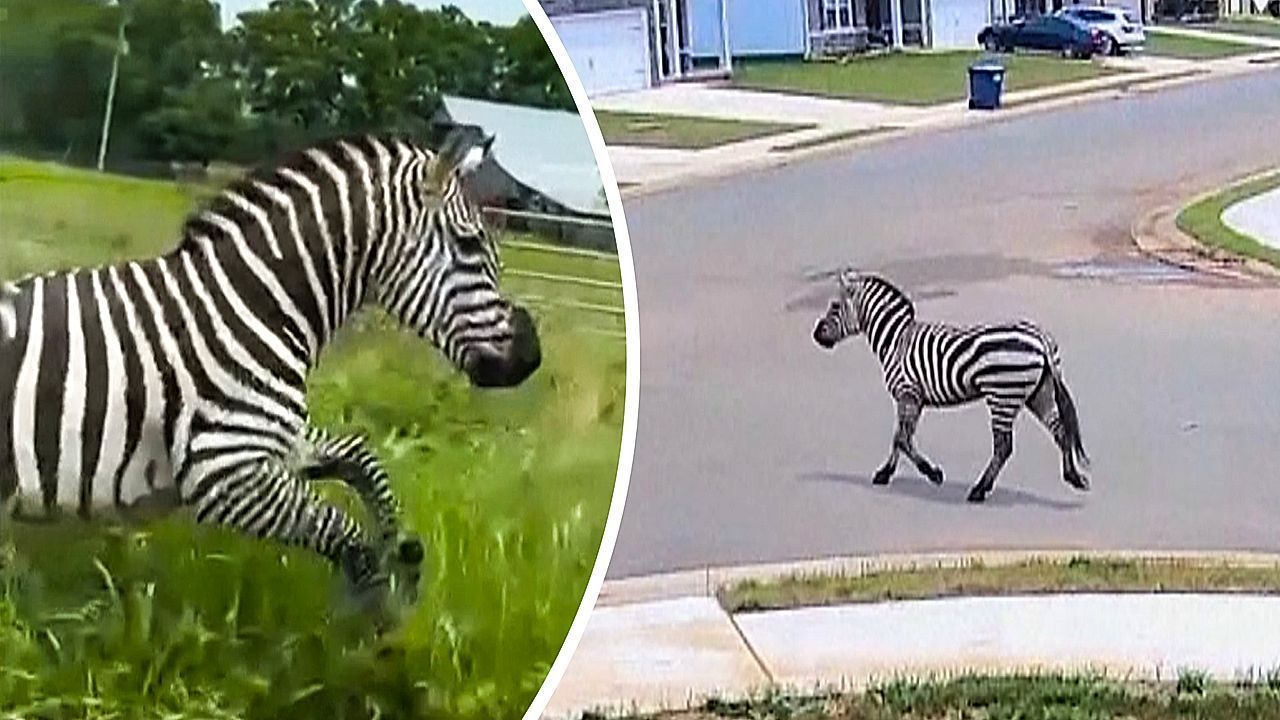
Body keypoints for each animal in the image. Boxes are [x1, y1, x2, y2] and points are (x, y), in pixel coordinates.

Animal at [0, 128, 541, 617]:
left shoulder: (270, 441)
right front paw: (370, 624)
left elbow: (361, 457)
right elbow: (346, 537)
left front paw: (403, 556)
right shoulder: (222, 472)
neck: (254, 306)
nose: (530, 357)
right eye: (469, 245)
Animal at [811, 269, 1088, 503]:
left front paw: (932, 473)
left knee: (1004, 446)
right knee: (1060, 431)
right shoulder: (914, 399)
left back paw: (979, 490)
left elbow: (902, 438)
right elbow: (899, 436)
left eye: (834, 306)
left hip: (1003, 396)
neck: (895, 340)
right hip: (1038, 393)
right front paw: (885, 473)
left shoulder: (907, 392)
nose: (816, 334)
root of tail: (1040, 338)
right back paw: (1074, 477)